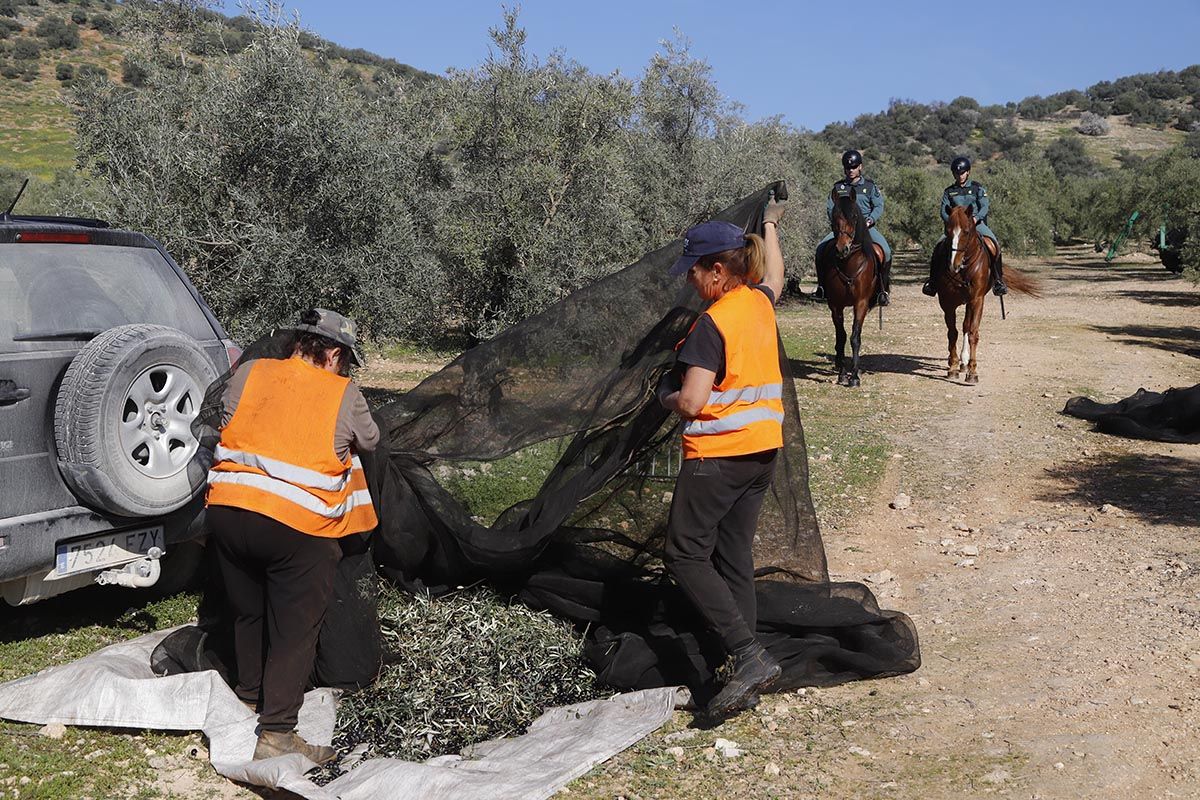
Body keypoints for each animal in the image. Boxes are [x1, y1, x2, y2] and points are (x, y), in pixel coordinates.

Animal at [816, 188, 883, 388]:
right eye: (834, 216)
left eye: (854, 216)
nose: (842, 249)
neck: (848, 264)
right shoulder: (835, 305)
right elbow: (841, 336)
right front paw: (842, 374)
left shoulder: (860, 304)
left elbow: (855, 337)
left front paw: (854, 376)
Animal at [926, 205, 1041, 383]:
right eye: (948, 231)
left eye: (966, 231)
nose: (953, 265)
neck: (963, 270)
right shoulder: (947, 302)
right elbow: (952, 333)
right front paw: (952, 367)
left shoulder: (977, 300)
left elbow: (973, 332)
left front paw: (972, 371)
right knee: (962, 327)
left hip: (971, 302)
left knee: (967, 326)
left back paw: (965, 362)